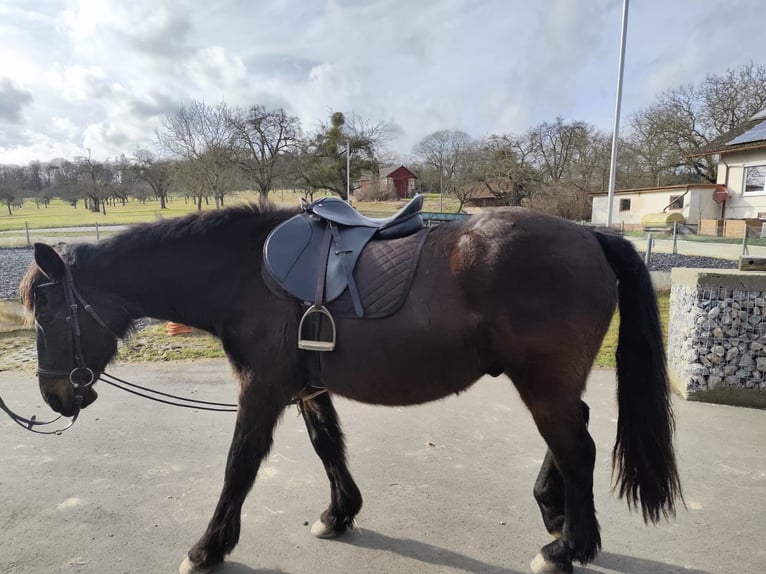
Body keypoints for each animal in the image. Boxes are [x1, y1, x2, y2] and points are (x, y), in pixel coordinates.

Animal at [19, 203, 682, 574]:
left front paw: (208, 548)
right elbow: (327, 447)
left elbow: (239, 466)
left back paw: (570, 548)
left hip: (541, 381)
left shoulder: (261, 389)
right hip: (548, 381)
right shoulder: (306, 388)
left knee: (577, 447)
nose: (54, 397)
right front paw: (339, 514)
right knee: (574, 434)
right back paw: (555, 514)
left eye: (46, 309)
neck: (242, 272)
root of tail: (590, 236)